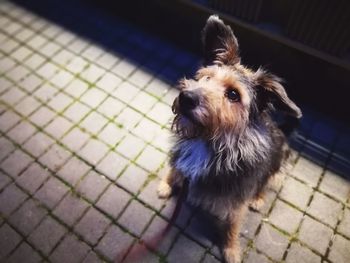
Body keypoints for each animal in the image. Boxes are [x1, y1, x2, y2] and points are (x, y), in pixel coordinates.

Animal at [157, 15, 302, 262]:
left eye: (233, 94)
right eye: (205, 77)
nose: (186, 98)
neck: (209, 140)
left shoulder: (238, 197)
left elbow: (233, 225)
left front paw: (231, 249)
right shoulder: (181, 159)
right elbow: (176, 169)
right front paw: (167, 183)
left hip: (277, 165)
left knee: (267, 180)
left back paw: (258, 198)